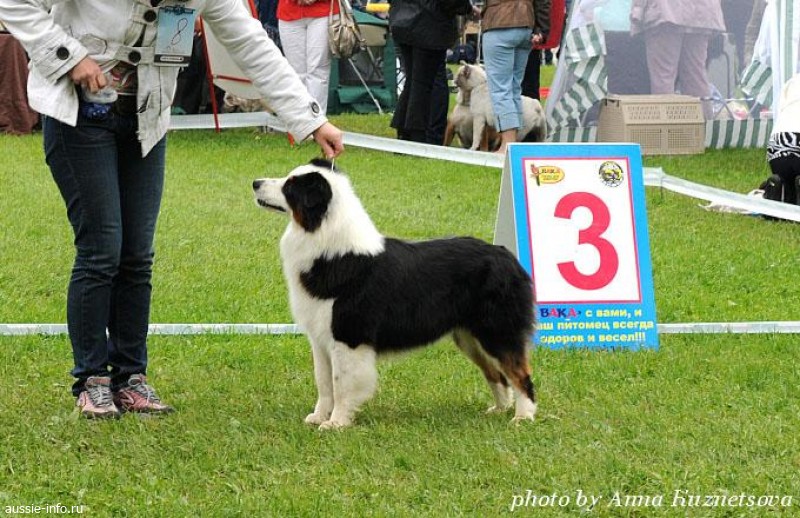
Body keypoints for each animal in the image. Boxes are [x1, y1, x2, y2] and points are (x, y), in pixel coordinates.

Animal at [252, 159, 538, 429]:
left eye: (290, 187)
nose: (255, 183)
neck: (330, 249)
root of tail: (505, 255)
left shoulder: (348, 335)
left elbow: (341, 384)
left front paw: (336, 423)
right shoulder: (320, 338)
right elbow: (323, 382)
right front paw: (318, 417)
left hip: (498, 330)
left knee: (519, 373)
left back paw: (523, 417)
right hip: (469, 336)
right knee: (497, 375)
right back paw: (499, 409)